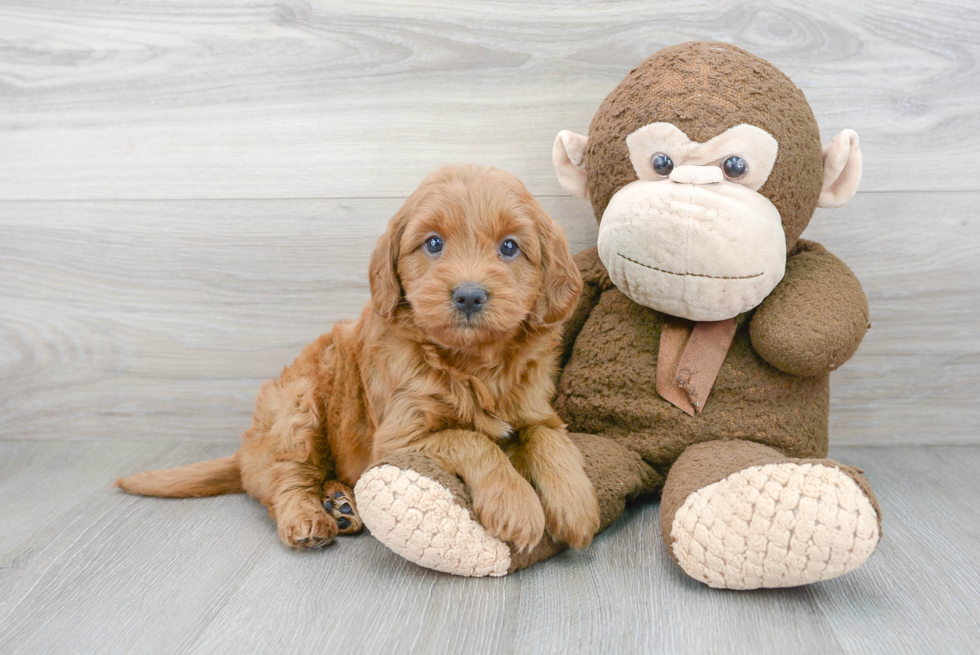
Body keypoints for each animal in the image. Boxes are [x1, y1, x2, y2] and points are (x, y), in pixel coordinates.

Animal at [118, 164, 600, 552]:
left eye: (510, 248)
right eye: (433, 244)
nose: (468, 295)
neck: (472, 362)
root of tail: (245, 450)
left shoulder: (536, 409)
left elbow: (549, 439)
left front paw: (575, 502)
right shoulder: (400, 436)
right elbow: (473, 440)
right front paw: (516, 505)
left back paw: (340, 502)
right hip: (298, 407)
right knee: (286, 479)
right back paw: (308, 518)